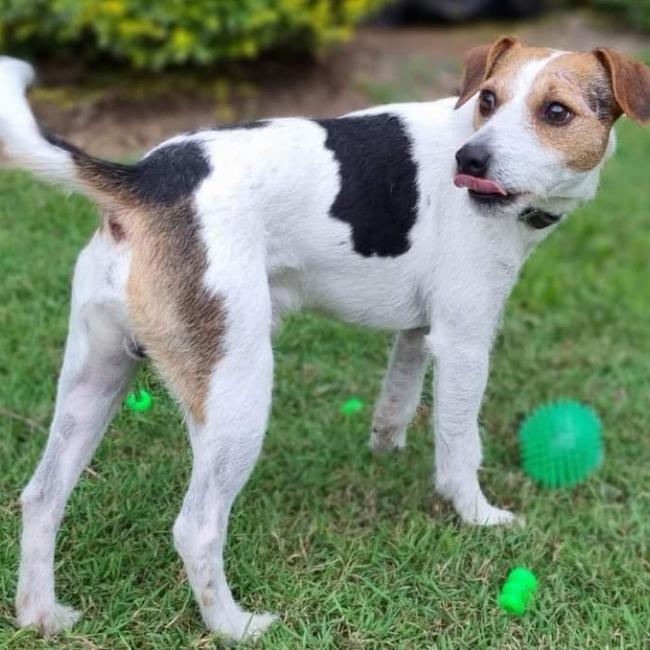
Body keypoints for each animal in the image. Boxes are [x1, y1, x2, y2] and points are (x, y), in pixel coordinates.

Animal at [0, 39, 644, 636]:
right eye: (488, 99)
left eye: (556, 112)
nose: (471, 160)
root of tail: (143, 181)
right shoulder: (465, 341)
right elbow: (460, 446)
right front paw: (475, 515)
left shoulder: (420, 331)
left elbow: (398, 398)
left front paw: (385, 449)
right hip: (237, 394)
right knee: (196, 527)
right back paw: (232, 626)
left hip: (95, 377)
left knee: (42, 496)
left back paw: (40, 614)